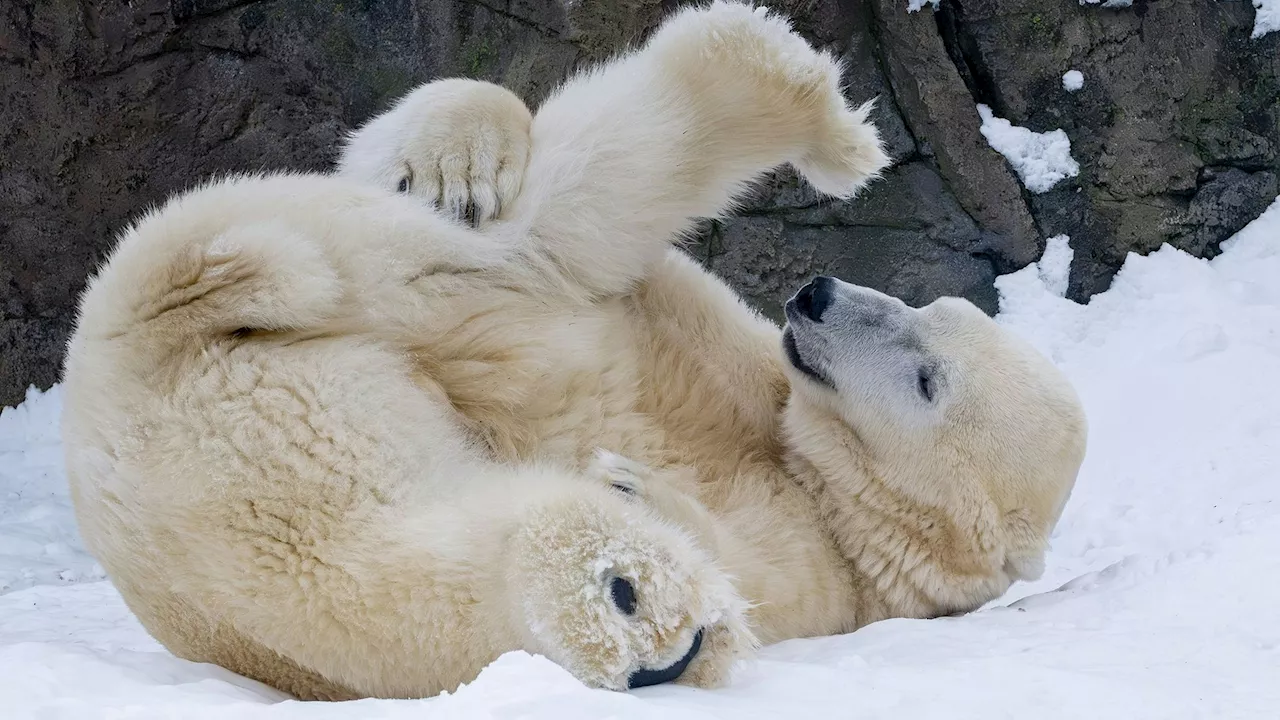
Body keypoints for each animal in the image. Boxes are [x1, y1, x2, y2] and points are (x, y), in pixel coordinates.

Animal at [57, 0, 1080, 702]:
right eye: (925, 301)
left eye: (927, 381)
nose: (817, 295)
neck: (819, 474)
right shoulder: (727, 349)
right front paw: (451, 159)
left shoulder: (828, 574)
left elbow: (751, 575)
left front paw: (640, 493)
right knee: (528, 237)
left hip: (287, 434)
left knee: (399, 539)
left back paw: (631, 593)